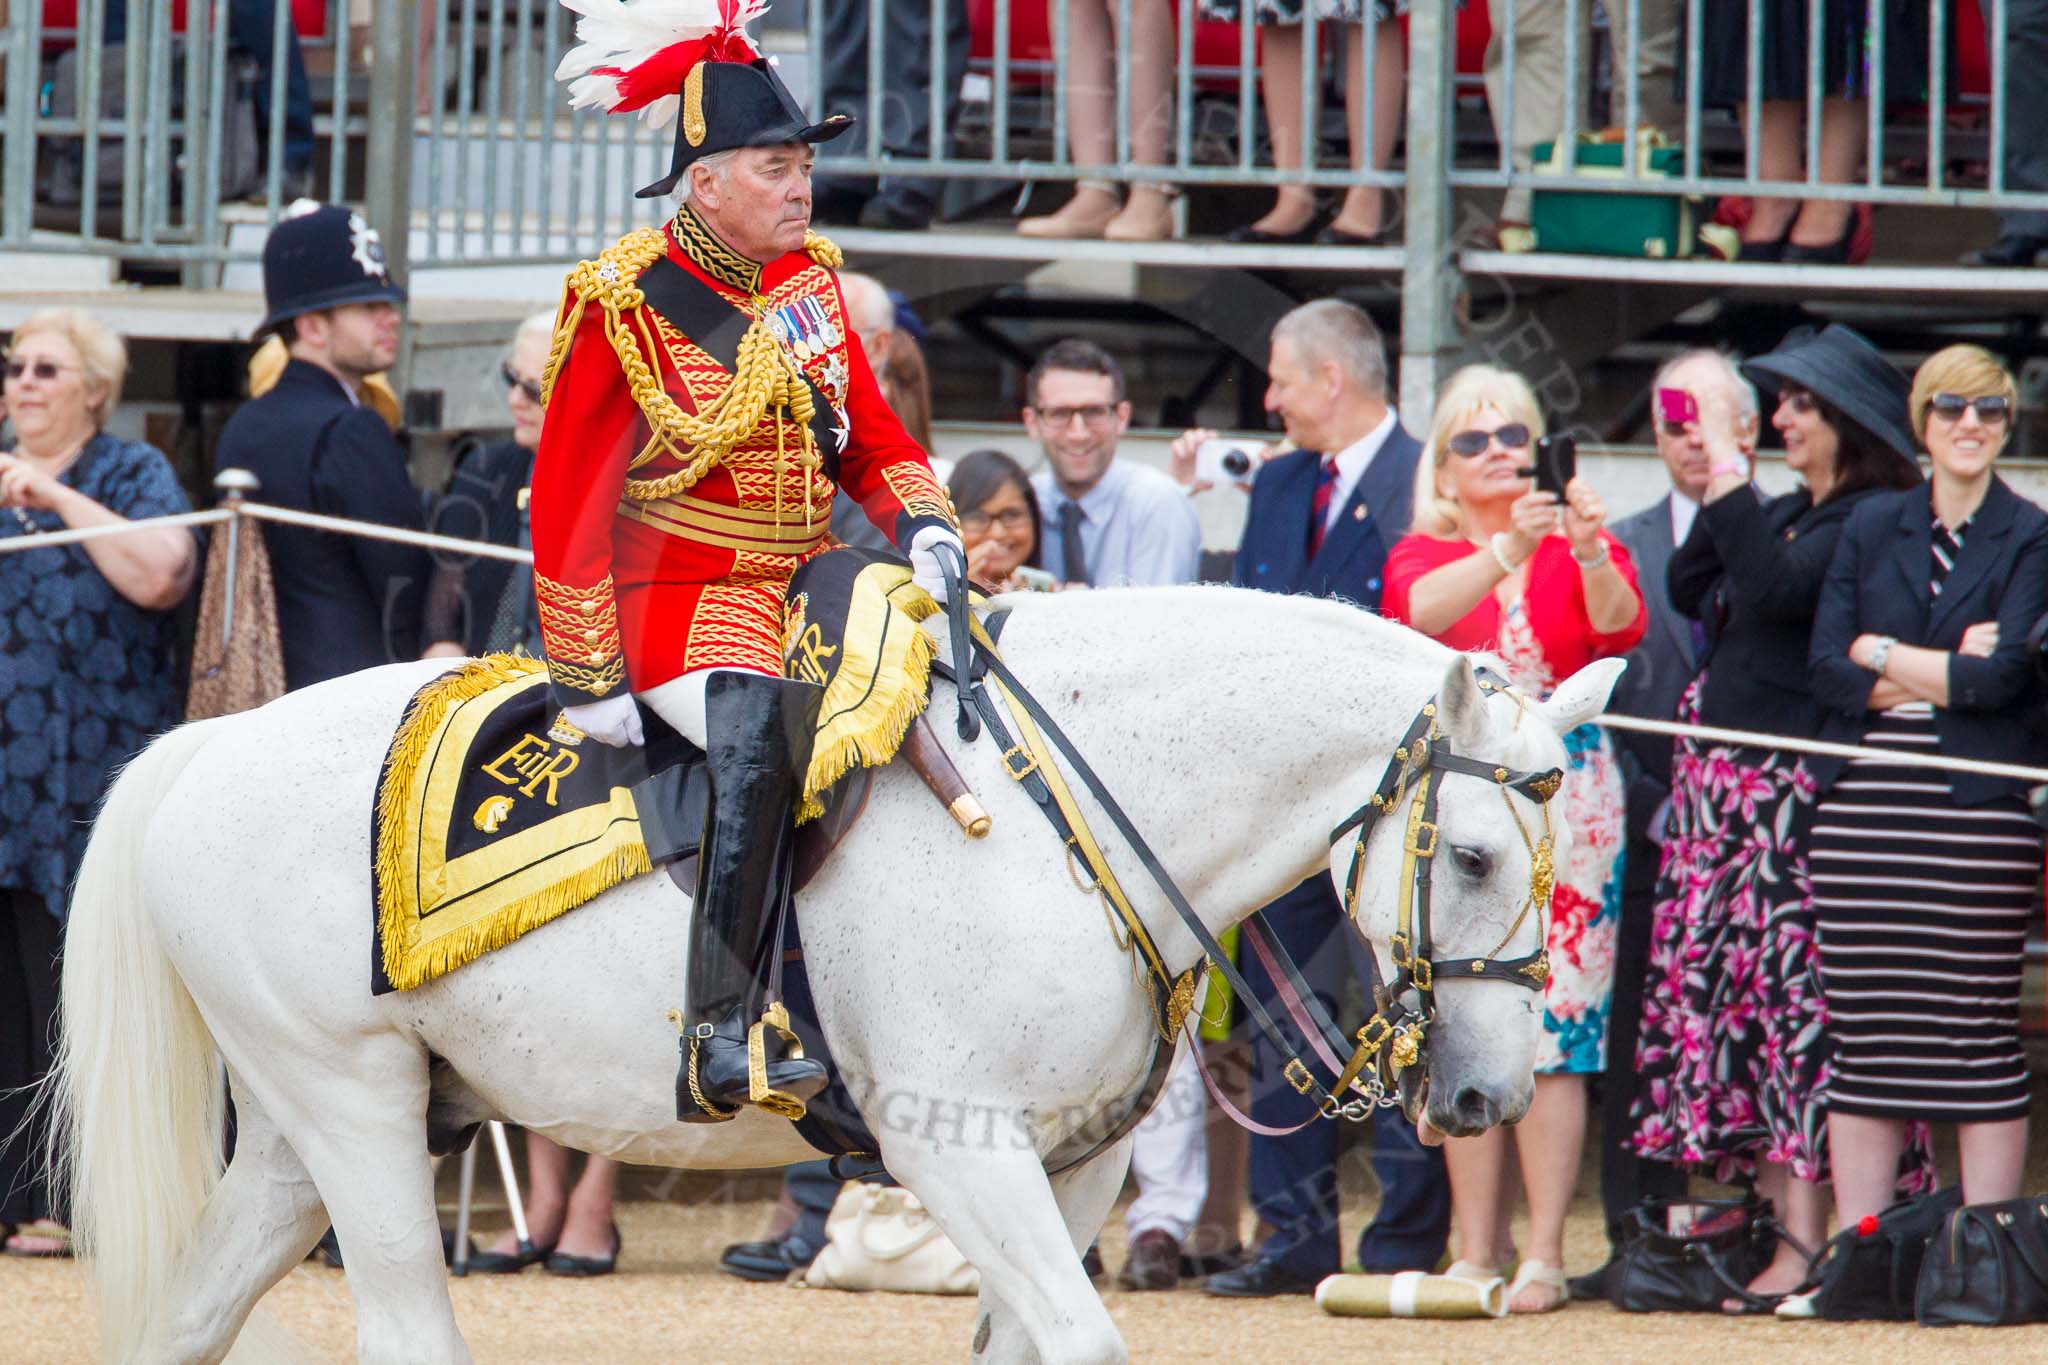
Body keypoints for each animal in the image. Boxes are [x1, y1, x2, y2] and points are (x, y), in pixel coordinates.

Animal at [44, 589, 1613, 1365]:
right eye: (1478, 853)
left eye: (1553, 867)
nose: (1491, 1092)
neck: (1061, 819)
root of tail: (208, 745)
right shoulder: (955, 1145)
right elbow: (1084, 1339)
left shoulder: (1076, 1171)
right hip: (354, 1110)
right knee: (404, 1334)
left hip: (306, 1137)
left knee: (184, 1322)